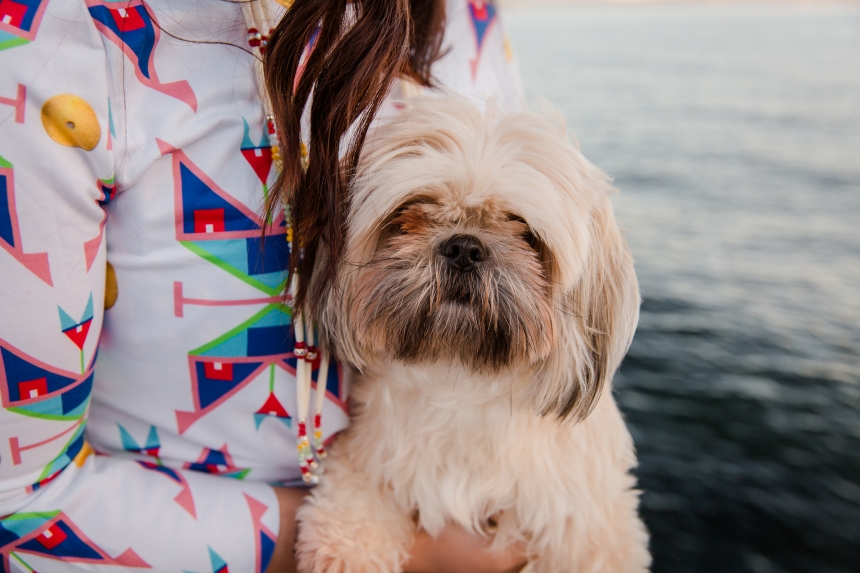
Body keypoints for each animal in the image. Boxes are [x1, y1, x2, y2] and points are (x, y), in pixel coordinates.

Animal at [298, 95, 648, 572]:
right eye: (412, 211)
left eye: (523, 229)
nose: (464, 247)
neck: (459, 379)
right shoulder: (369, 460)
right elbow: (353, 505)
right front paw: (345, 547)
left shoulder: (587, 523)